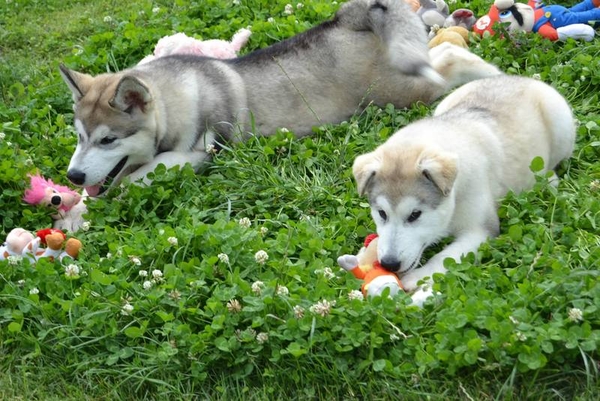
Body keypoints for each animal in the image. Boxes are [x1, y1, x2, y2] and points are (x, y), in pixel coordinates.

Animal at [354, 75, 576, 304]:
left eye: (415, 214)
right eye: (381, 213)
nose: (389, 264)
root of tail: (518, 78)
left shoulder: (481, 230)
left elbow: (446, 256)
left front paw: (416, 278)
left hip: (560, 122)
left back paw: (549, 180)